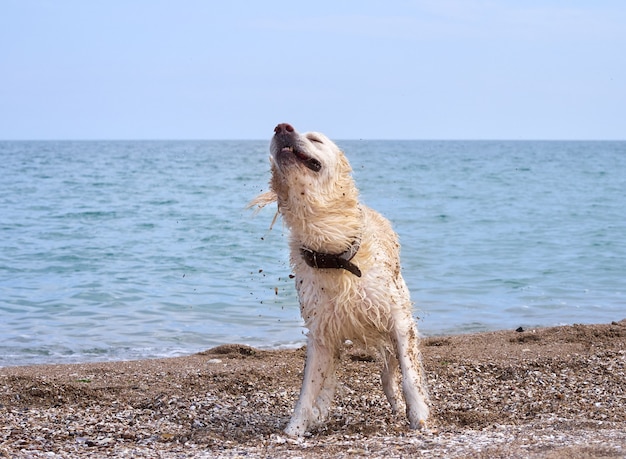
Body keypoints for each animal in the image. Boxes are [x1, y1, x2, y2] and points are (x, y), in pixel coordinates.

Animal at [249, 123, 428, 438]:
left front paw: (418, 414)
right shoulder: (321, 331)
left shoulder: (398, 320)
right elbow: (308, 388)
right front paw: (295, 428)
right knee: (330, 376)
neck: (333, 252)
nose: (282, 127)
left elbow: (409, 373)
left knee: (388, 371)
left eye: (315, 139)